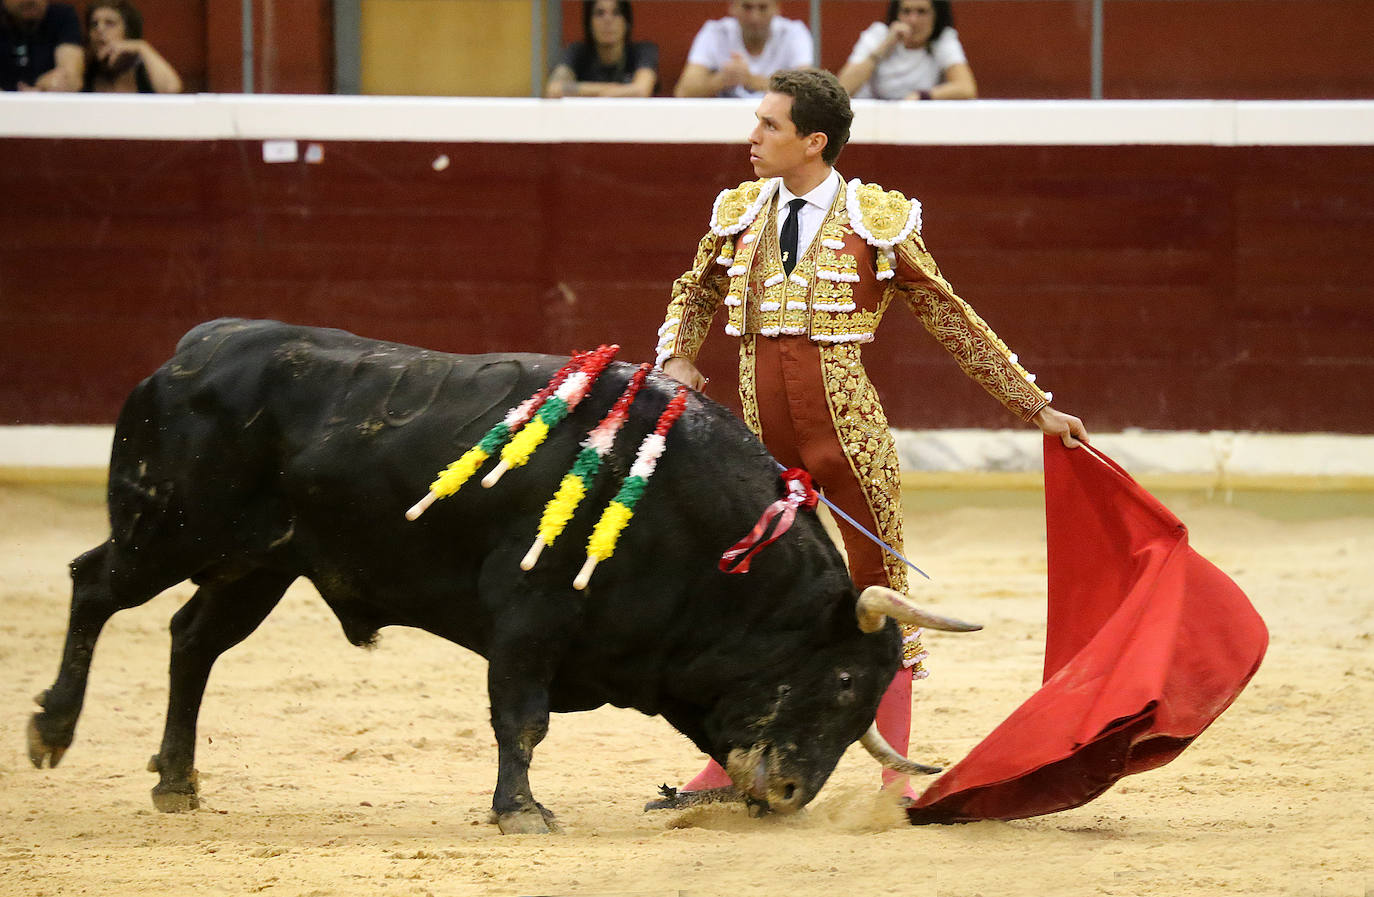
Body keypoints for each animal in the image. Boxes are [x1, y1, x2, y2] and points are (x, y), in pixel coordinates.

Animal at [32, 315, 978, 835]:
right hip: (168, 533)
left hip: (257, 566)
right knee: (94, 585)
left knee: (192, 641)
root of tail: (191, 350)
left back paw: (176, 780)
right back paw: (52, 731)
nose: (786, 793)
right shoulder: (530, 613)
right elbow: (521, 718)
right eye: (845, 678)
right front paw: (520, 809)